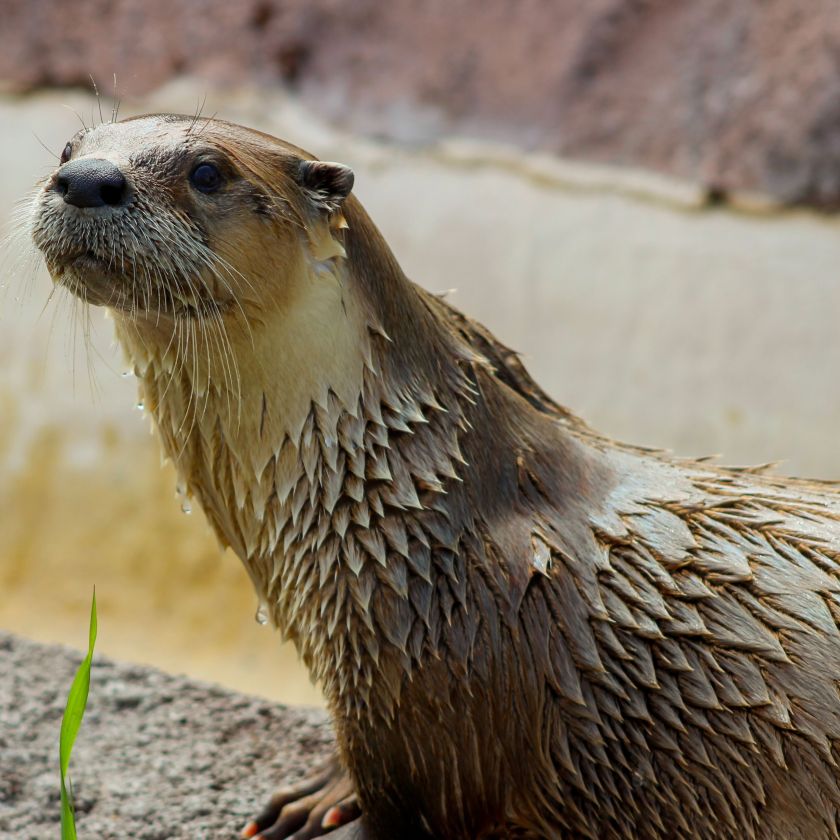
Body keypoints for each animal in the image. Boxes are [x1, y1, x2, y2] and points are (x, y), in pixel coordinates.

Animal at [27, 114, 840, 840]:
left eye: (206, 172)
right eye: (68, 146)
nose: (87, 179)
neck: (402, 495)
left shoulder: (431, 690)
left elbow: (412, 809)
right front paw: (320, 790)